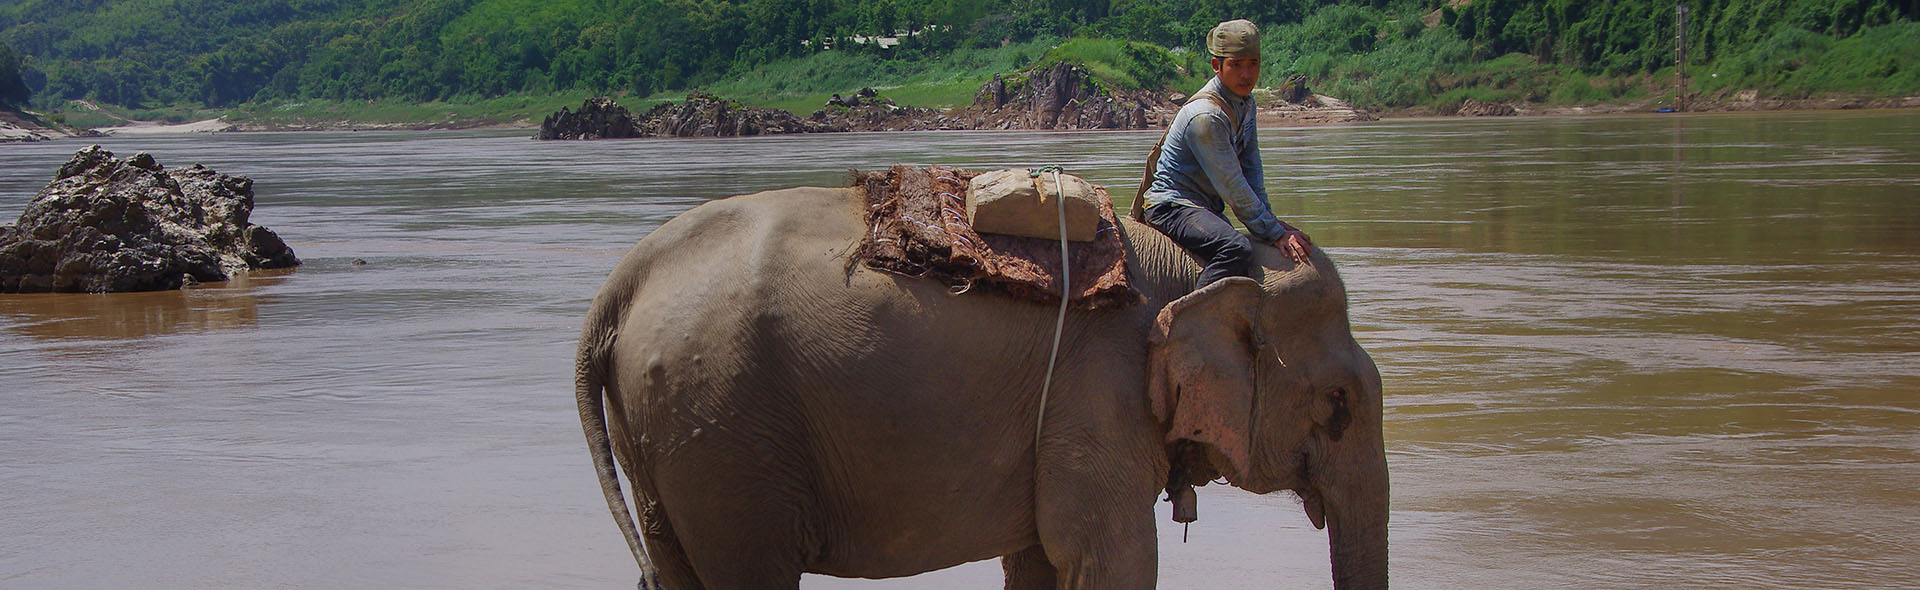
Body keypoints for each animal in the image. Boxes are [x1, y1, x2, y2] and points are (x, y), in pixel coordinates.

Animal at [576, 186, 1390, 590]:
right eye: (1340, 404)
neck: (1185, 263)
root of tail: (622, 283)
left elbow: (1041, 560)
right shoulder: (1098, 390)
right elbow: (1113, 560)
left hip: (671, 430)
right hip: (724, 429)